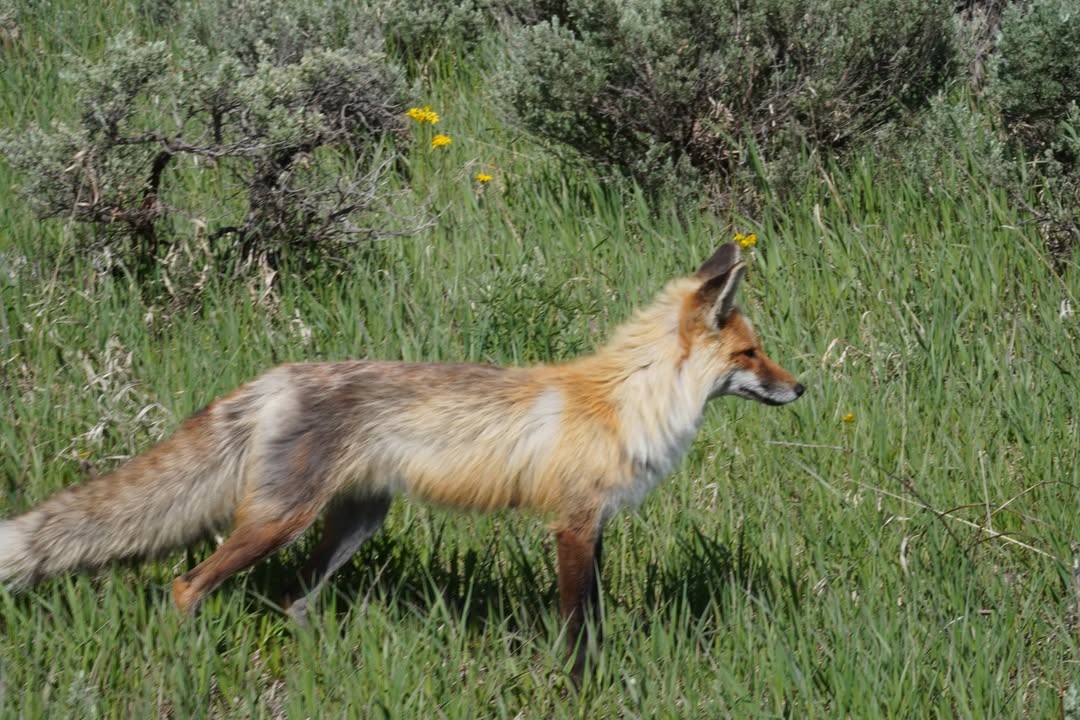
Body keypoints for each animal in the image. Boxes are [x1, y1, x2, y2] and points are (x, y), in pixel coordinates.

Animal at [0, 242, 802, 679]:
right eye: (750, 354)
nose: (802, 387)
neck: (624, 400)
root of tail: (276, 377)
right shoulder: (572, 524)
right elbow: (577, 628)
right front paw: (581, 687)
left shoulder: (594, 525)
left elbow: (595, 615)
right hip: (279, 522)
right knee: (185, 585)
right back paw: (184, 656)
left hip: (355, 524)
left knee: (294, 600)